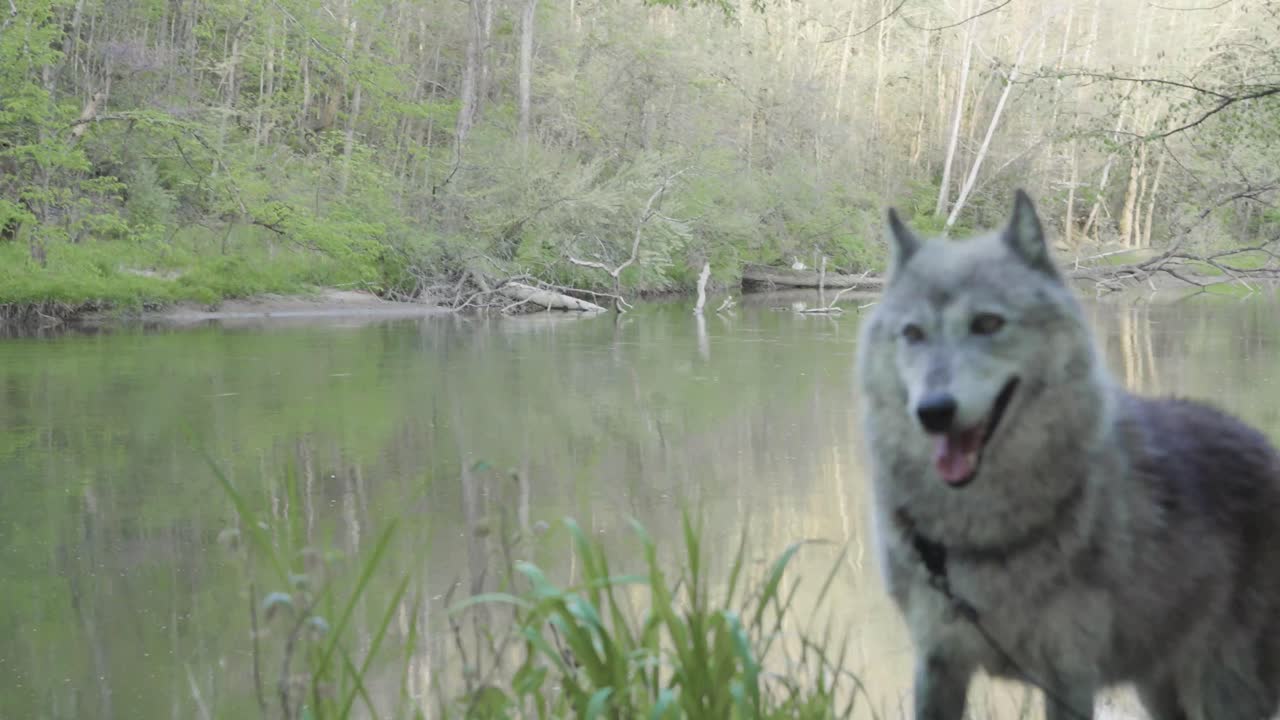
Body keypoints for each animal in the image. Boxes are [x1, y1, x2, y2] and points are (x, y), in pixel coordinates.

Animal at [854, 190, 1280, 720]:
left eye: (987, 323)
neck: (980, 532)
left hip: (1223, 690)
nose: (933, 411)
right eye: (912, 334)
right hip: (1159, 689)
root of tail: (1265, 446)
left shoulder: (1069, 676)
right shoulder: (937, 664)